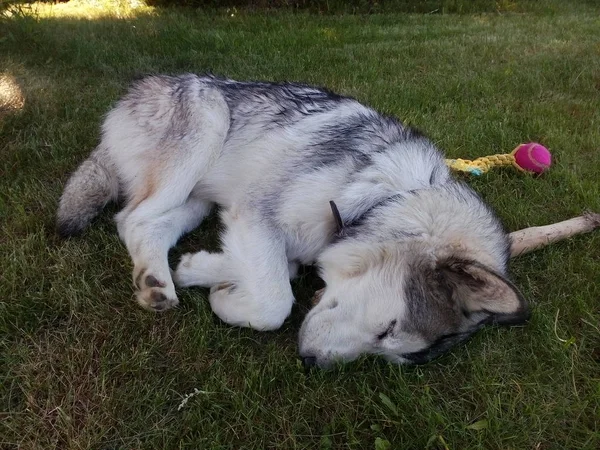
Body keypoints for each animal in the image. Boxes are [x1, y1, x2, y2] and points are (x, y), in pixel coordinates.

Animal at [55, 74, 524, 370]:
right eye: (388, 330)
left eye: (391, 357)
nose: (312, 364)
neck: (383, 197)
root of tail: (136, 91)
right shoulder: (254, 214)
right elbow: (275, 303)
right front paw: (225, 300)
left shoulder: (256, 223)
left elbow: (282, 268)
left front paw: (203, 271)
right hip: (203, 135)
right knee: (131, 218)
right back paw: (156, 283)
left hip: (199, 200)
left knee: (149, 225)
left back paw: (159, 278)